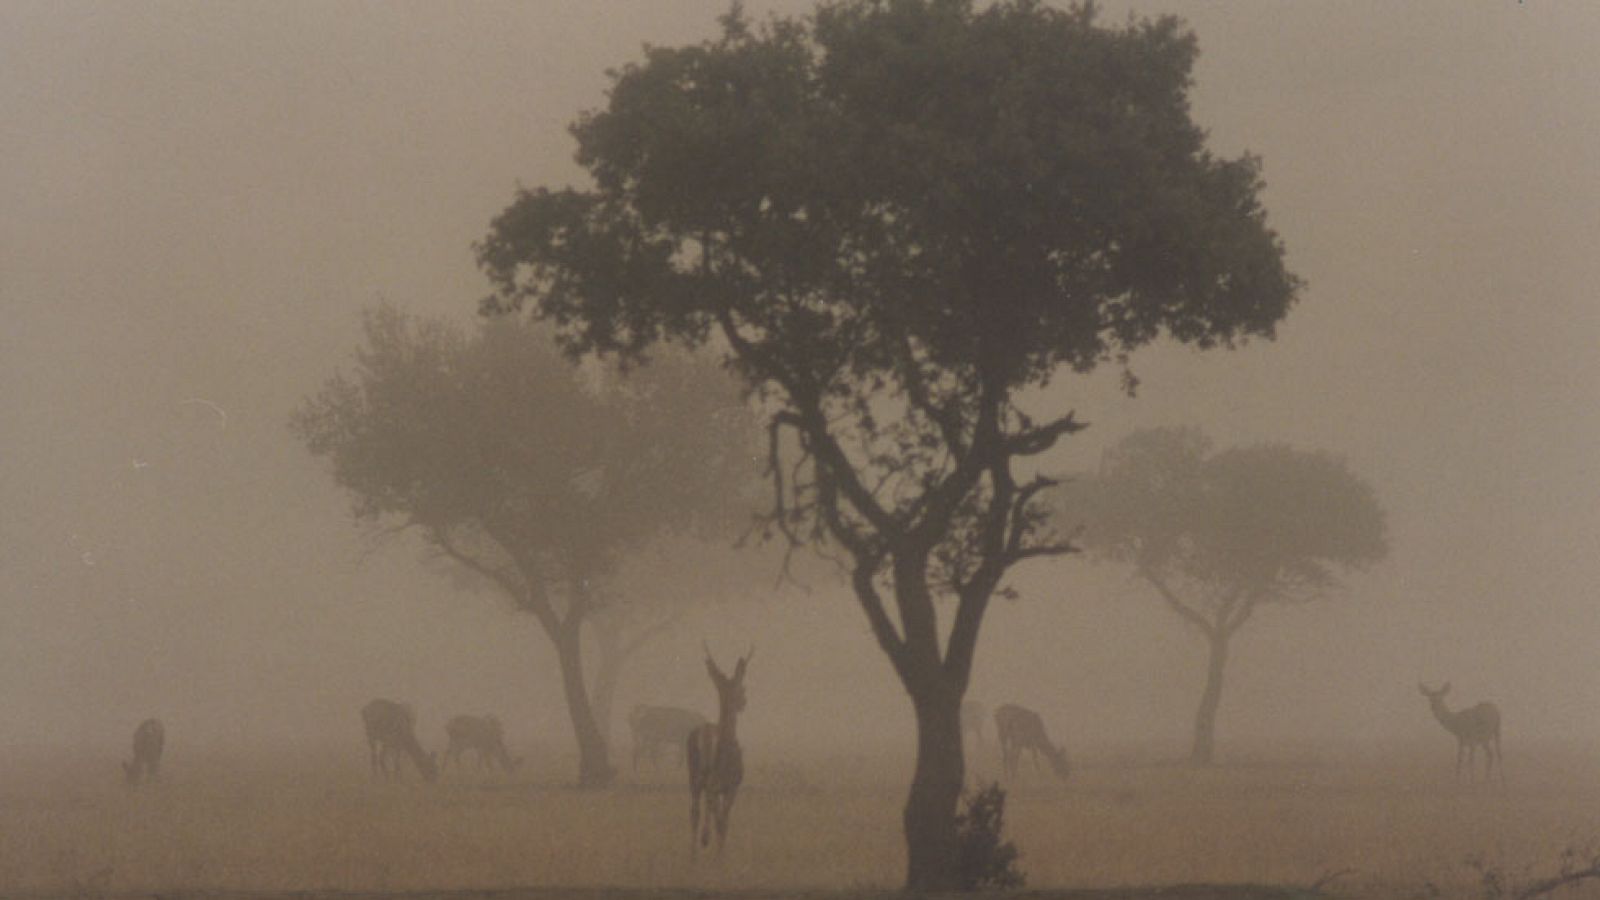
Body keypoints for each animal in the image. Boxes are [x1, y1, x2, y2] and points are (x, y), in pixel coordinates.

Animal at [684, 643, 752, 851]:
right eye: (741, 690)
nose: (743, 703)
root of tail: (704, 734)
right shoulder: (733, 785)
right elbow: (723, 822)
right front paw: (718, 852)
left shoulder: (723, 787)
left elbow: (719, 818)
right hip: (710, 778)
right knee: (710, 810)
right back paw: (704, 840)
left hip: (693, 774)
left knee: (695, 812)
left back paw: (695, 851)